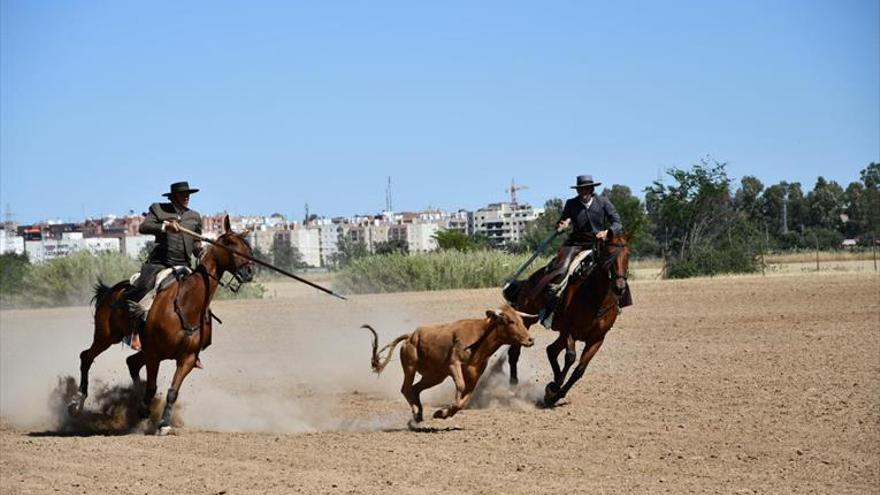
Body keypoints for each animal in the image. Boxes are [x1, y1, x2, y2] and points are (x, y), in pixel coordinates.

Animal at [70, 217, 253, 434]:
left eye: (247, 246)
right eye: (231, 244)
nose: (249, 272)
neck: (186, 304)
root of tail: (110, 291)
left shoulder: (187, 358)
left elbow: (172, 391)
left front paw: (163, 423)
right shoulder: (154, 354)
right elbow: (151, 387)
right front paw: (143, 410)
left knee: (131, 362)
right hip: (106, 336)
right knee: (87, 357)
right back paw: (77, 402)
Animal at [362, 304, 536, 424]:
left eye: (521, 320)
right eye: (510, 321)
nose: (530, 340)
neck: (479, 338)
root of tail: (410, 336)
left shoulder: (475, 374)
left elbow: (466, 397)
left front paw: (444, 413)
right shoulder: (453, 365)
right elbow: (460, 386)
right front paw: (444, 411)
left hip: (435, 376)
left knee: (415, 389)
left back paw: (419, 413)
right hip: (410, 367)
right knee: (406, 389)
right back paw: (415, 414)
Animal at [502, 232, 632, 406]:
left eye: (628, 255)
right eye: (608, 255)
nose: (619, 287)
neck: (596, 297)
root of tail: (528, 280)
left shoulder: (597, 338)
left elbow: (579, 370)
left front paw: (555, 393)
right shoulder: (569, 330)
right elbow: (570, 357)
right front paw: (554, 388)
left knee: (550, 350)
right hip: (527, 319)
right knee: (515, 352)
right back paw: (513, 385)